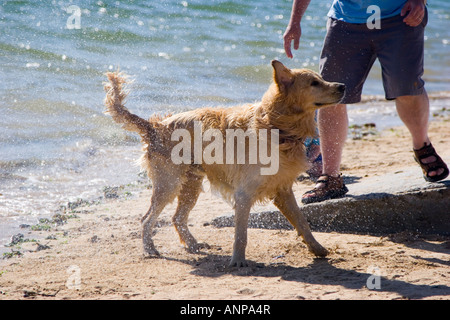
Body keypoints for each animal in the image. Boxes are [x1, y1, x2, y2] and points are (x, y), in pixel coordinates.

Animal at [104, 60, 344, 268]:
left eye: (321, 79)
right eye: (314, 83)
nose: (342, 85)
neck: (276, 126)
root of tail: (154, 126)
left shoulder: (282, 190)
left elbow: (303, 222)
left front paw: (317, 248)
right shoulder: (244, 193)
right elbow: (241, 234)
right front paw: (238, 261)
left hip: (190, 185)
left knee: (177, 218)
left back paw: (193, 244)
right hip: (169, 184)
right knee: (146, 219)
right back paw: (150, 249)